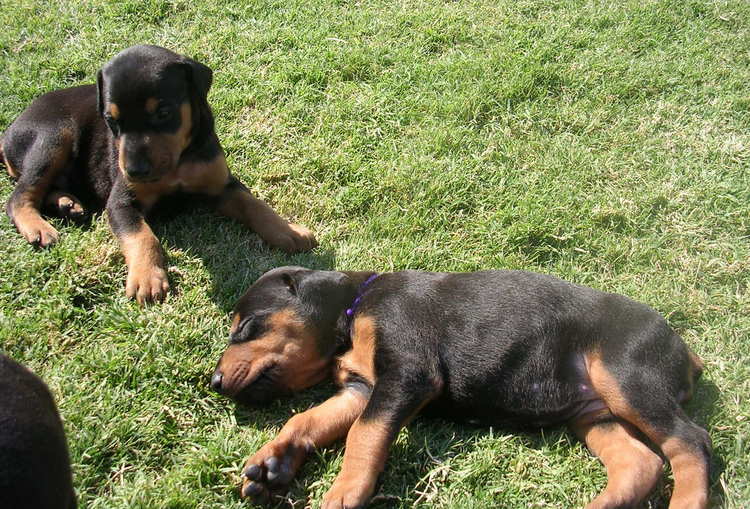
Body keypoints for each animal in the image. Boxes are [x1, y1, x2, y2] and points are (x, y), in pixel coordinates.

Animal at [0, 44, 318, 302]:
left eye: (164, 113)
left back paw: (68, 203)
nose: (135, 171)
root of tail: (8, 132)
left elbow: (254, 204)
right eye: (111, 120)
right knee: (20, 195)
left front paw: (289, 232)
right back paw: (39, 227)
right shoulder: (120, 202)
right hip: (54, 135)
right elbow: (141, 235)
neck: (178, 162)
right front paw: (147, 279)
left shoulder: (221, 184)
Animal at [213, 266, 716, 508]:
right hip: (592, 411)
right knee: (640, 463)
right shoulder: (362, 389)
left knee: (690, 442)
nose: (215, 381)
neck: (355, 309)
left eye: (246, 326)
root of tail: (687, 352)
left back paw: (686, 502)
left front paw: (343, 493)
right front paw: (272, 463)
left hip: (625, 374)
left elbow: (363, 435)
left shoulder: (407, 374)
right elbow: (309, 419)